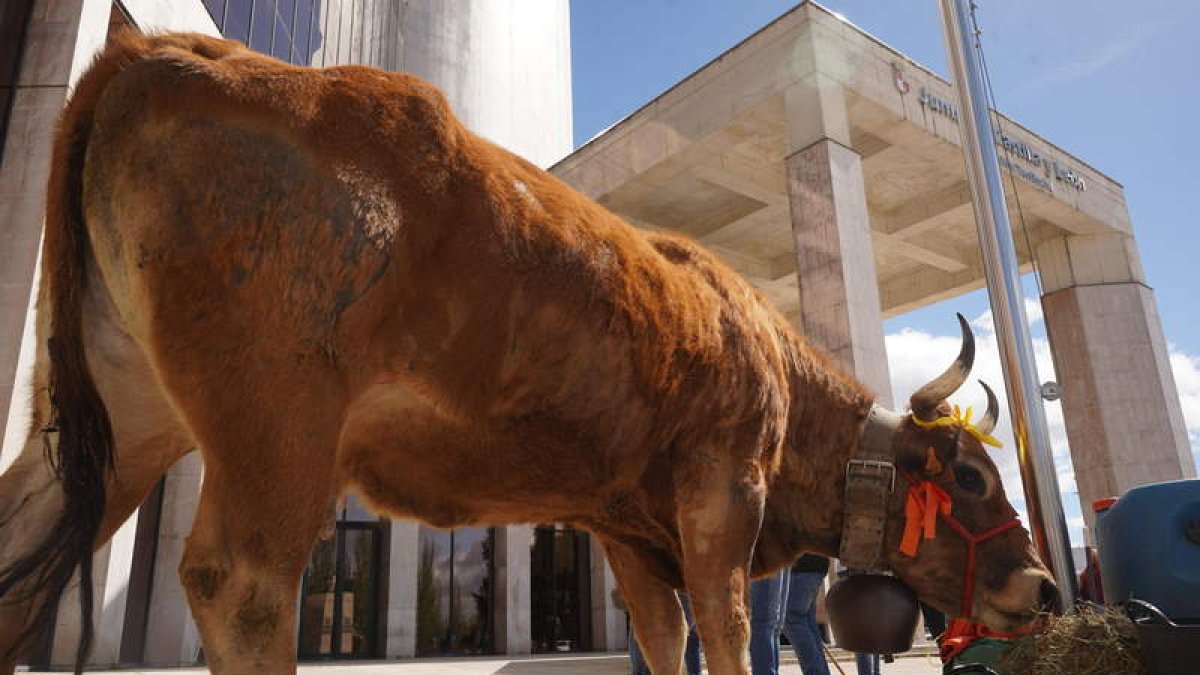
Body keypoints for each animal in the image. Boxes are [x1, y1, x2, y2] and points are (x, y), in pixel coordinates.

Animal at [0, 32, 1051, 672]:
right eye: (968, 476)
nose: (1042, 584)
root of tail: (163, 45)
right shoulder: (724, 488)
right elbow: (724, 630)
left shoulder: (627, 527)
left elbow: (665, 638)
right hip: (275, 418)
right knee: (242, 583)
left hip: (119, 414)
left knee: (18, 552)